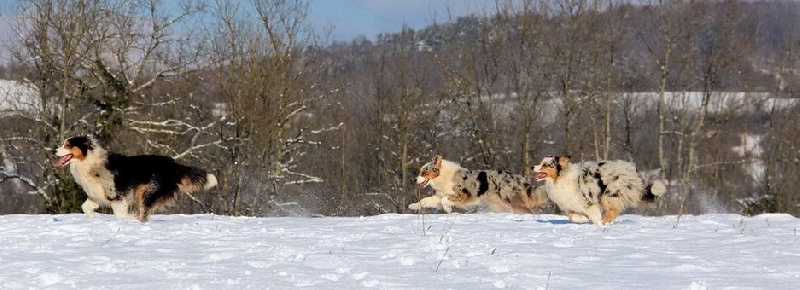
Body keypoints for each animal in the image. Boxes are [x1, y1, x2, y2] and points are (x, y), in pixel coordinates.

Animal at [53, 136, 217, 222]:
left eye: (67, 145)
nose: (53, 150)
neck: (90, 162)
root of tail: (173, 164)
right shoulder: (96, 194)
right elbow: (84, 207)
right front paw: (93, 218)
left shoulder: (117, 196)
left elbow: (120, 215)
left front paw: (127, 218)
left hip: (146, 192)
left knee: (143, 213)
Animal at [410, 156, 548, 213]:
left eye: (424, 172)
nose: (415, 179)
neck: (443, 176)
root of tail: (517, 177)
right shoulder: (437, 196)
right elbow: (426, 200)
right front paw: (413, 205)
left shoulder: (463, 195)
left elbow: (445, 199)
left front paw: (448, 209)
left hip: (513, 200)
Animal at [536, 155, 664, 225]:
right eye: (541, 162)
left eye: (545, 165)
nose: (533, 167)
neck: (561, 177)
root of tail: (633, 173)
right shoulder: (571, 205)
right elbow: (572, 217)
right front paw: (583, 219)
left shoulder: (588, 203)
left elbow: (594, 215)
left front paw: (597, 224)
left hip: (609, 194)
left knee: (613, 211)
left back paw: (604, 222)